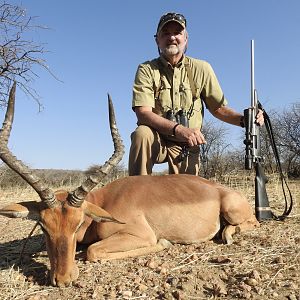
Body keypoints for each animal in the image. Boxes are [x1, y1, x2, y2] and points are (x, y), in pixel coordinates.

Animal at [0, 83, 258, 288]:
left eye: (78, 223)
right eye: (43, 226)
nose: (63, 279)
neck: (104, 202)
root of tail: (221, 190)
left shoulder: (139, 234)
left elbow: (93, 251)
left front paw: (163, 242)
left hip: (233, 211)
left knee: (250, 223)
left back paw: (226, 234)